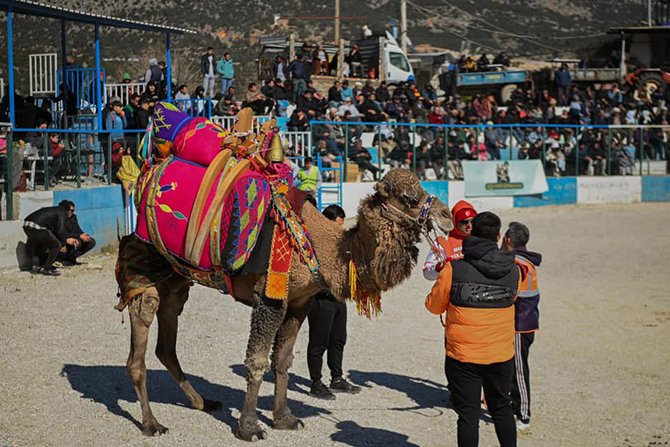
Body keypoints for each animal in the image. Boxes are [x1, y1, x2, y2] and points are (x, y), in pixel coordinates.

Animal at [116, 119, 453, 442]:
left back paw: (203, 402)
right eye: (409, 198)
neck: (318, 245)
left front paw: (284, 418)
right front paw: (249, 427)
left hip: (178, 281)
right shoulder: (269, 299)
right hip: (144, 270)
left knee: (166, 343)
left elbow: (283, 360)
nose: (446, 215)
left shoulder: (299, 302)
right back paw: (151, 423)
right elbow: (257, 361)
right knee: (139, 341)